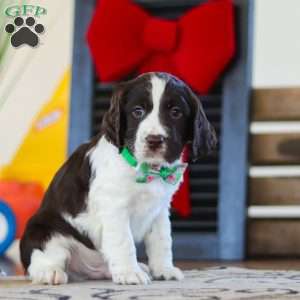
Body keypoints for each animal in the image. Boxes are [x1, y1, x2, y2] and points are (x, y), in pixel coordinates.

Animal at [19, 71, 217, 284]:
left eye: (175, 112)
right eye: (137, 111)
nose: (154, 140)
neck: (147, 170)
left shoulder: (159, 210)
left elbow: (162, 240)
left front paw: (164, 269)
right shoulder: (115, 207)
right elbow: (124, 241)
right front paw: (130, 273)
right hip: (45, 231)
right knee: (44, 256)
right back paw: (49, 272)